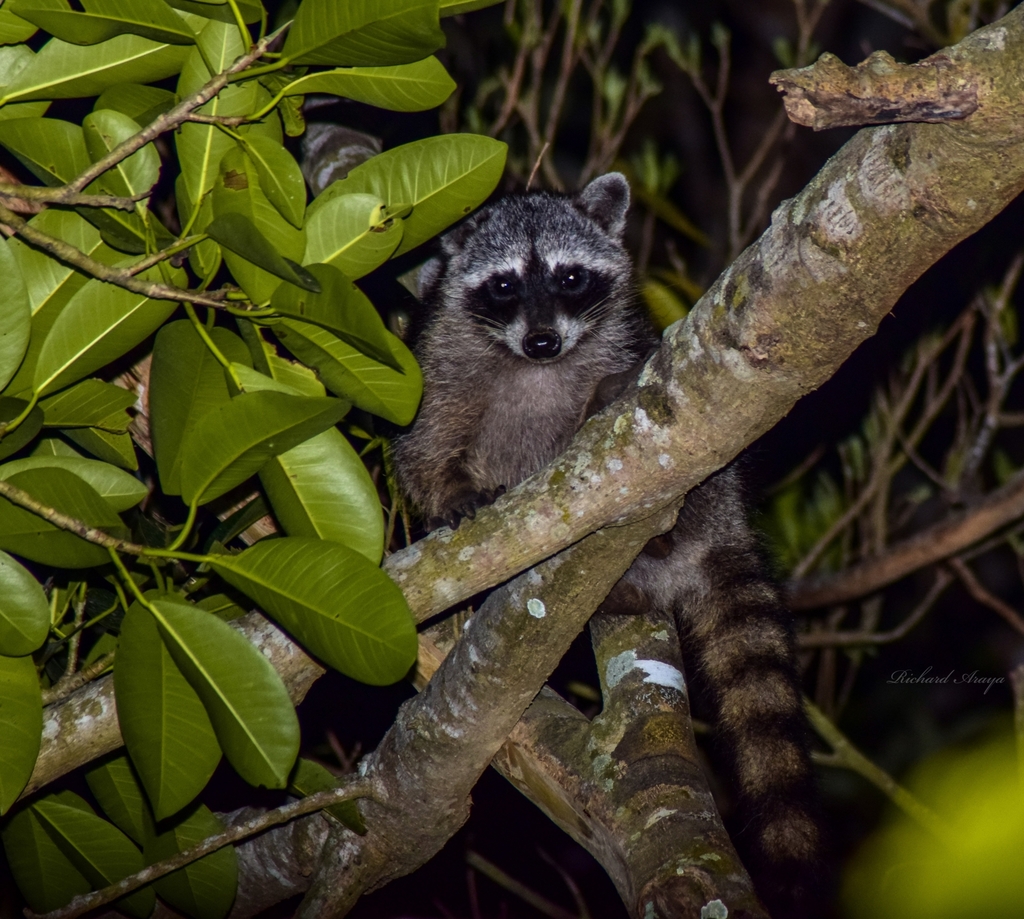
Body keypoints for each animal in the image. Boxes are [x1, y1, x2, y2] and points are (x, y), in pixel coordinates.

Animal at [394, 173, 822, 917]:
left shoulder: (623, 339)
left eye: (570, 277)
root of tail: (723, 528)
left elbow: (628, 380)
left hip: (711, 491)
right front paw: (449, 494)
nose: (542, 341)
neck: (535, 362)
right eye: (504, 285)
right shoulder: (443, 355)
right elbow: (423, 446)